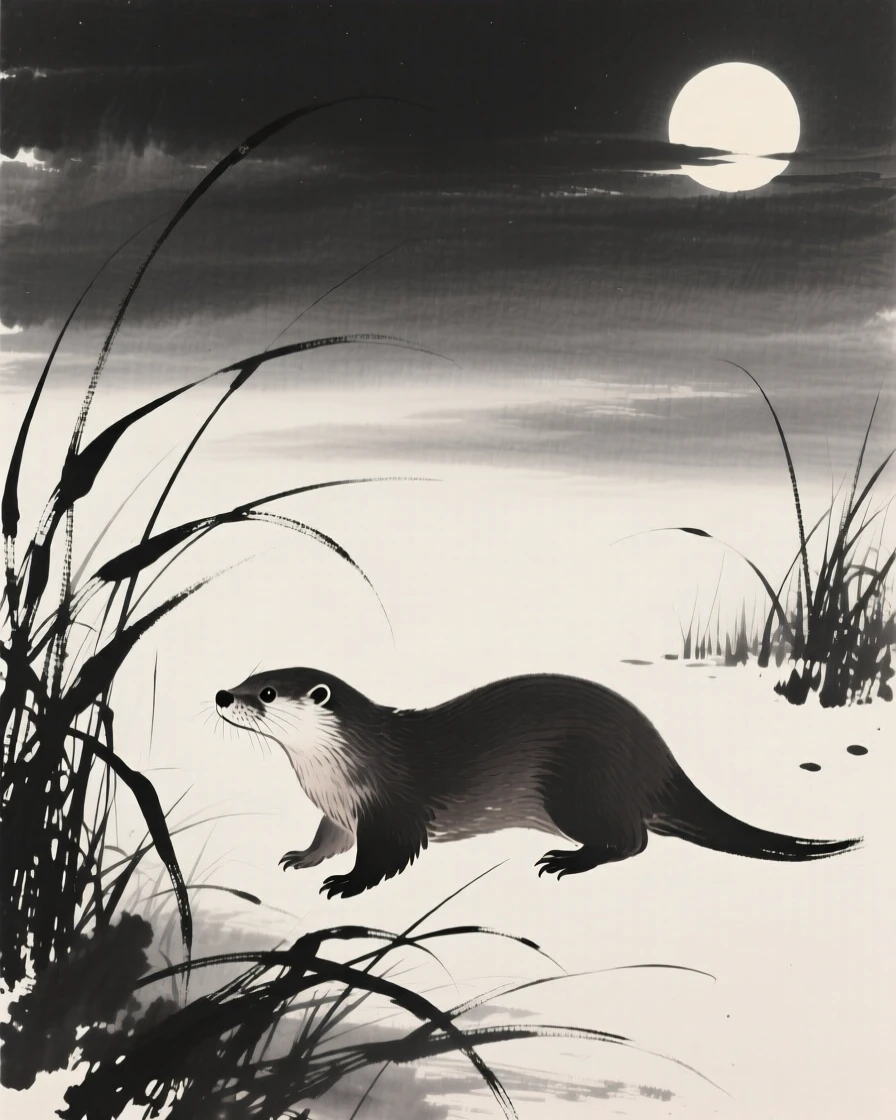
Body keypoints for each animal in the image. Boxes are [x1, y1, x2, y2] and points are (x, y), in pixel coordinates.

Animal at [215, 668, 861, 899]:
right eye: (248, 674)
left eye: (266, 692)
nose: (223, 694)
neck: (338, 771)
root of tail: (657, 758)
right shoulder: (341, 810)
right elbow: (328, 839)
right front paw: (302, 858)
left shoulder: (391, 807)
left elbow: (388, 856)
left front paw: (347, 884)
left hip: (579, 788)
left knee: (633, 840)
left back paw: (567, 862)